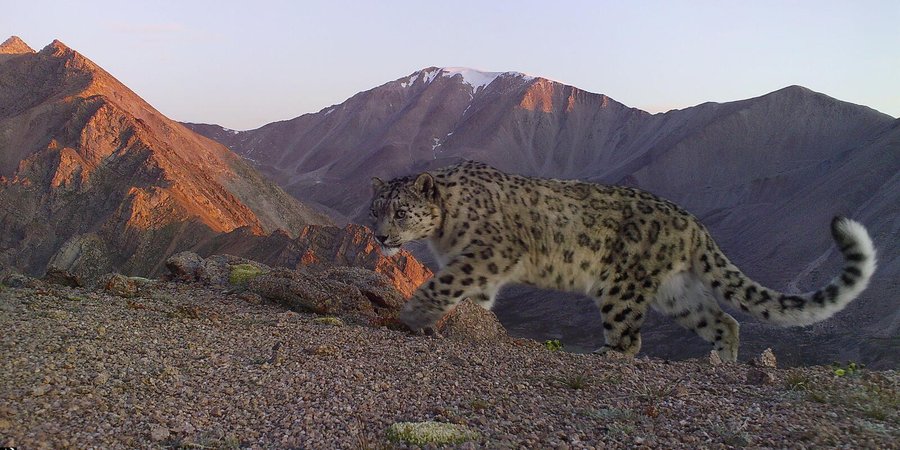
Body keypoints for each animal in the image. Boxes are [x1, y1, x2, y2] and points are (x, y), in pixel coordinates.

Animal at [369, 160, 877, 361]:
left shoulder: (488, 255)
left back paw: (606, 353)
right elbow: (468, 297)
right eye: (375, 209)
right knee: (724, 320)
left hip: (621, 284)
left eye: (401, 212)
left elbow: (442, 284)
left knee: (630, 338)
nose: (379, 236)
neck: (444, 230)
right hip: (677, 293)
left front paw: (414, 313)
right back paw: (720, 363)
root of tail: (692, 221)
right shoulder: (479, 271)